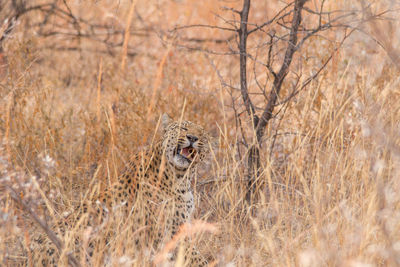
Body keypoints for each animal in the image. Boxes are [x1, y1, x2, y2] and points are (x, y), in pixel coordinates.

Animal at [30, 114, 212, 266]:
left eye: (202, 134)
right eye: (183, 128)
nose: (193, 138)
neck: (181, 177)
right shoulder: (171, 233)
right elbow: (196, 258)